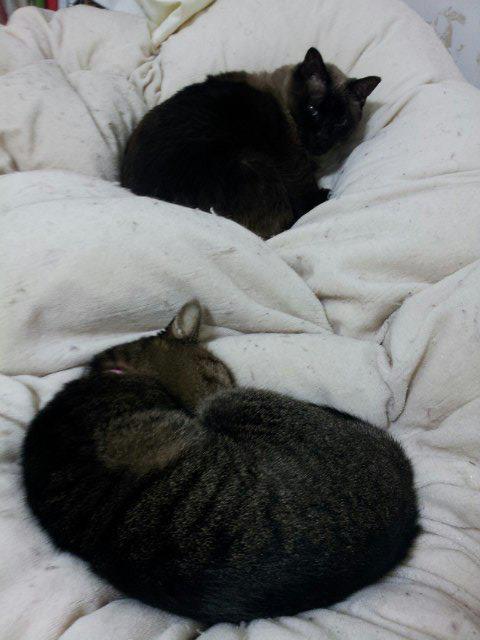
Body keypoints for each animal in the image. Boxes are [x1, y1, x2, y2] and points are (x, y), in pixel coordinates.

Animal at [121, 48, 381, 239]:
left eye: (341, 122)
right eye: (313, 110)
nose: (322, 139)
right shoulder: (291, 158)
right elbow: (302, 189)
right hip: (253, 162)